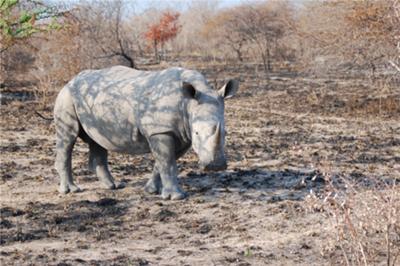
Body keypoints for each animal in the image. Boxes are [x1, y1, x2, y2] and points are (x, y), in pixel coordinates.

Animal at [54, 66, 239, 200]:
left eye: (225, 132)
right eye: (197, 133)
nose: (215, 166)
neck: (189, 103)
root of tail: (70, 81)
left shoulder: (179, 133)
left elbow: (163, 161)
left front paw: (151, 190)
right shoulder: (161, 130)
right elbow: (167, 162)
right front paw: (176, 197)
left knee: (97, 140)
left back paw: (112, 186)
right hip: (66, 96)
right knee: (68, 138)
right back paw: (71, 190)